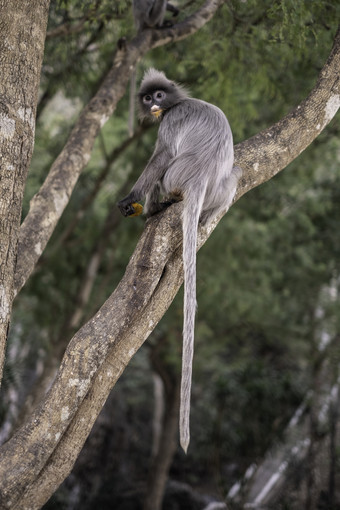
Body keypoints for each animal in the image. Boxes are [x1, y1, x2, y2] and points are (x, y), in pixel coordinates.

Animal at [118, 68, 240, 454]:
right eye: (148, 98)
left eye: (159, 95)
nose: (154, 104)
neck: (176, 102)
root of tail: (199, 180)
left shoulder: (170, 122)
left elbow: (160, 156)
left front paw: (131, 197)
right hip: (222, 187)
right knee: (236, 175)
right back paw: (204, 216)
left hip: (175, 176)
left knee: (164, 167)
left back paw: (155, 207)